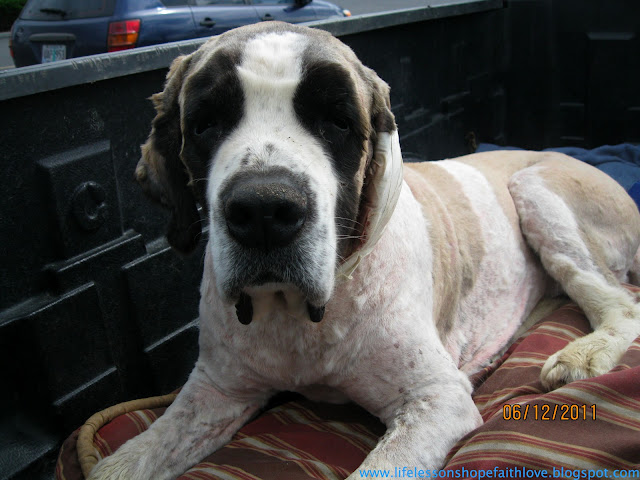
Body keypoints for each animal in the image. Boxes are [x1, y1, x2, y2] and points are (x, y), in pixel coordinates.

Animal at [88, 21, 640, 480]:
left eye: (338, 122)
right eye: (204, 124)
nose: (264, 209)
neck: (298, 319)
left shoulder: (436, 399)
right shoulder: (216, 390)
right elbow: (126, 460)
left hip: (536, 189)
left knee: (623, 302)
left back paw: (582, 354)